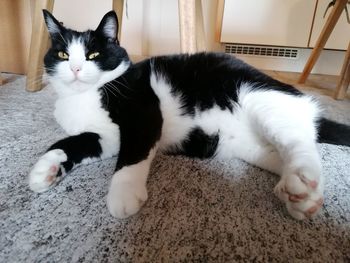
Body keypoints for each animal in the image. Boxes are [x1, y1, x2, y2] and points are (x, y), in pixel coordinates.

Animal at [28, 9, 350, 221]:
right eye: (63, 55)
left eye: (93, 55)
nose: (75, 69)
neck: (83, 97)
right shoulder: (106, 136)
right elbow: (72, 143)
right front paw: (46, 168)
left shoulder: (143, 112)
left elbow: (132, 156)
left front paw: (123, 194)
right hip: (250, 146)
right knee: (286, 151)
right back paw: (305, 198)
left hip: (259, 96)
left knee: (300, 140)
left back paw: (302, 178)